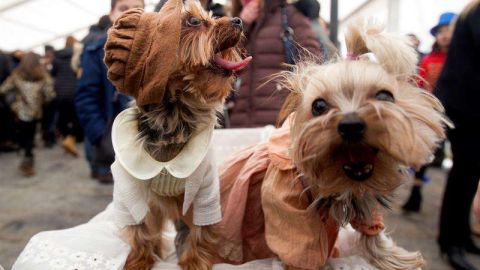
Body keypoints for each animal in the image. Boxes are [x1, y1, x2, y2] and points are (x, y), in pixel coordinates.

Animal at [104, 0, 251, 270]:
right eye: (193, 21)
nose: (238, 20)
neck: (174, 118)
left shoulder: (204, 191)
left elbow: (201, 229)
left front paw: (194, 261)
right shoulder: (130, 190)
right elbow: (139, 229)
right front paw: (138, 260)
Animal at [216, 21, 448, 270]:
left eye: (385, 96)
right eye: (319, 106)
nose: (351, 125)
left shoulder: (362, 199)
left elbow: (371, 230)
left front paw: (393, 258)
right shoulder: (285, 199)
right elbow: (300, 250)